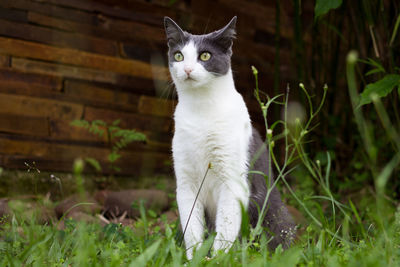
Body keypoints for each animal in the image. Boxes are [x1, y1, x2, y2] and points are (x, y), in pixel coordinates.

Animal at [164, 16, 296, 260]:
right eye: (178, 56)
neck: (201, 110)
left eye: (205, 56)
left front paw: (217, 259)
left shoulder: (233, 180)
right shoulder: (186, 182)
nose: (187, 68)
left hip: (276, 215)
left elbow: (225, 225)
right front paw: (193, 258)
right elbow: (191, 227)